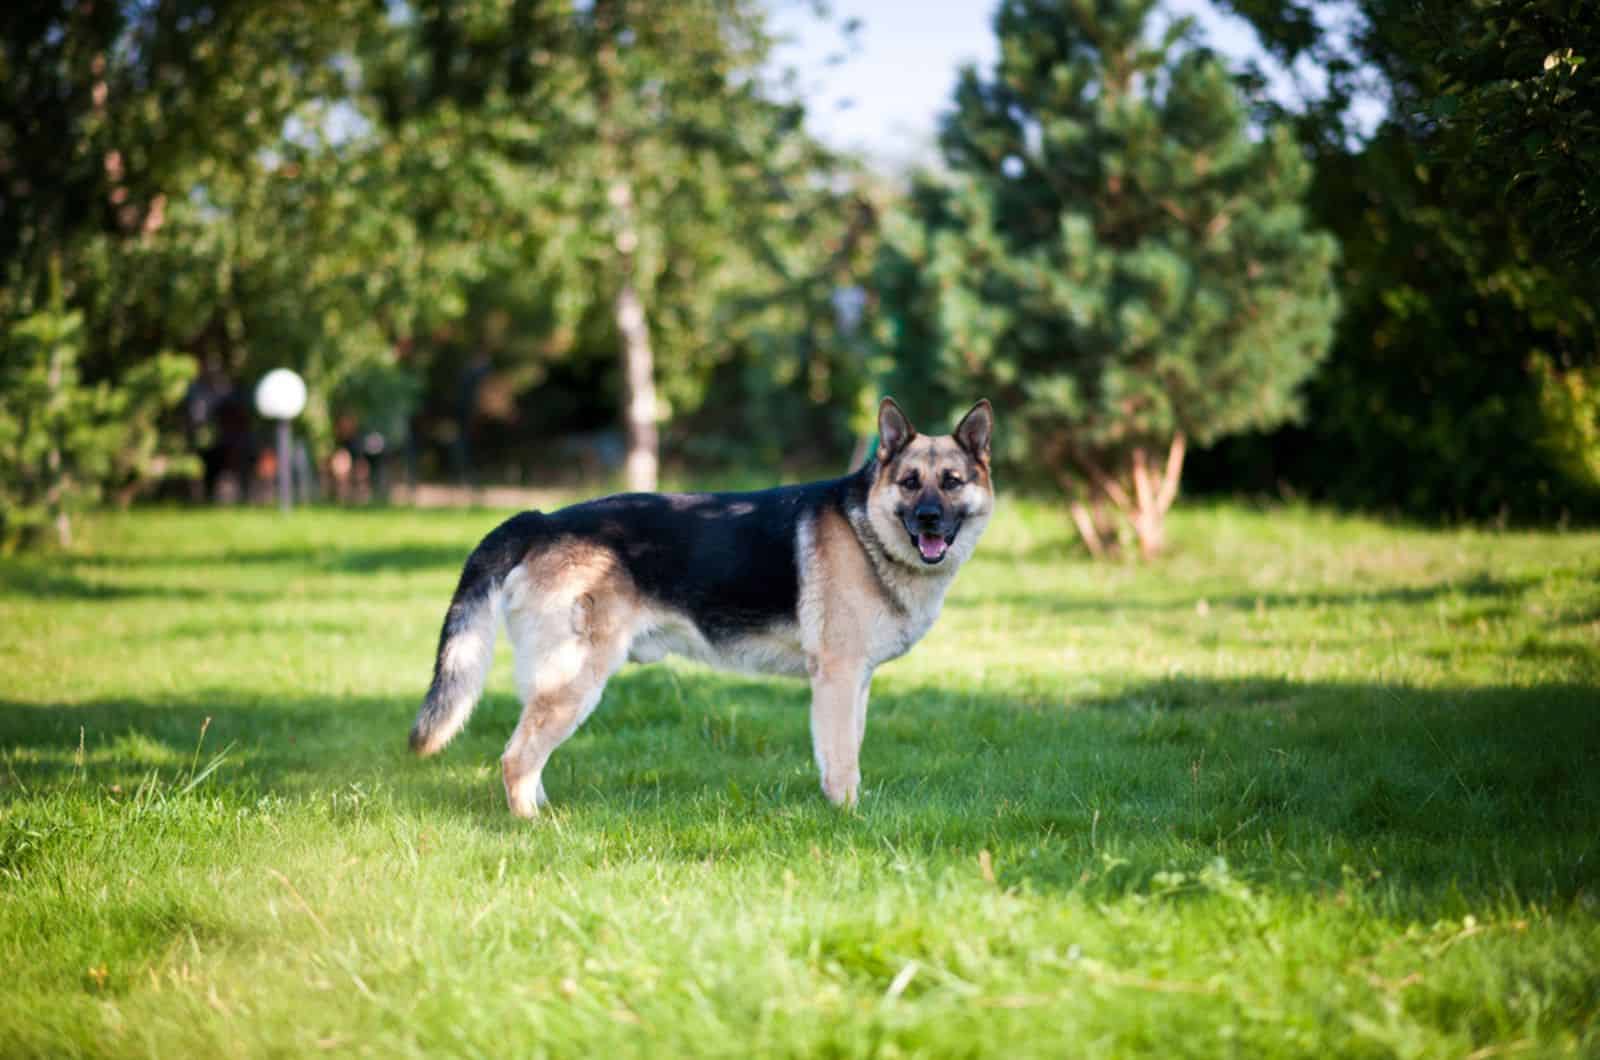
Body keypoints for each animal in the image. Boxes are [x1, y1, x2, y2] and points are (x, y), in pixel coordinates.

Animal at [409, 393, 985, 816]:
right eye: (909, 483)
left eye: (952, 482)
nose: (930, 520)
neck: (865, 528)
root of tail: (543, 520)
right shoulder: (838, 679)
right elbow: (843, 760)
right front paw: (848, 819)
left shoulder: (854, 683)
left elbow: (842, 754)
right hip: (574, 681)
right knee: (515, 759)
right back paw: (532, 827)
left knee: (530, 758)